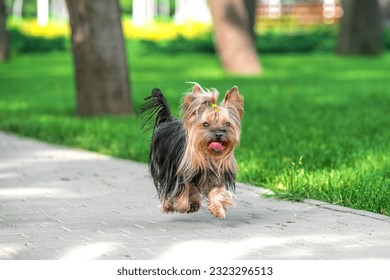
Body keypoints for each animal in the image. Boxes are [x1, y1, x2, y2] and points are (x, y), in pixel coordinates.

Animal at [140, 83, 244, 219]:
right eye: (205, 124)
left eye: (227, 124)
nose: (218, 134)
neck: (208, 156)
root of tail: (169, 120)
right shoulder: (179, 172)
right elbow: (182, 192)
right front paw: (178, 205)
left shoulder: (218, 174)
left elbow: (217, 190)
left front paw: (217, 208)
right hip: (163, 166)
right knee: (165, 187)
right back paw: (168, 204)